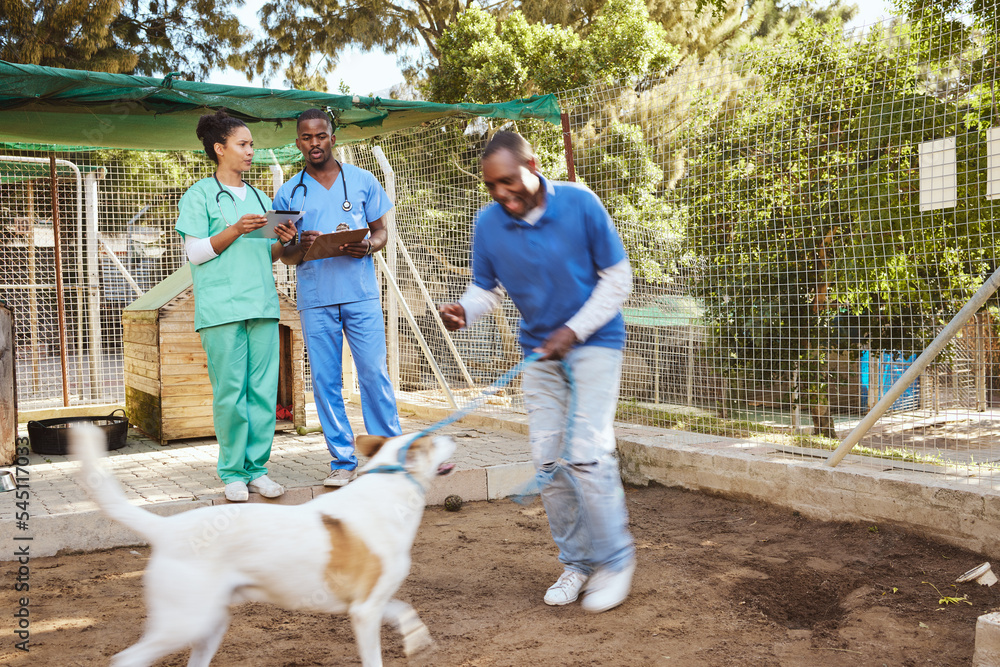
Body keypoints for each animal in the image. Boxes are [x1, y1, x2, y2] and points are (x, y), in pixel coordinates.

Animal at [71, 426, 458, 667]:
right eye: (433, 440)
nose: (454, 435)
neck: (391, 488)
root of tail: (167, 528)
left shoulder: (372, 603)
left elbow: (405, 611)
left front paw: (417, 641)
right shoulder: (364, 612)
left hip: (209, 624)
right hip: (183, 623)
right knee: (126, 659)